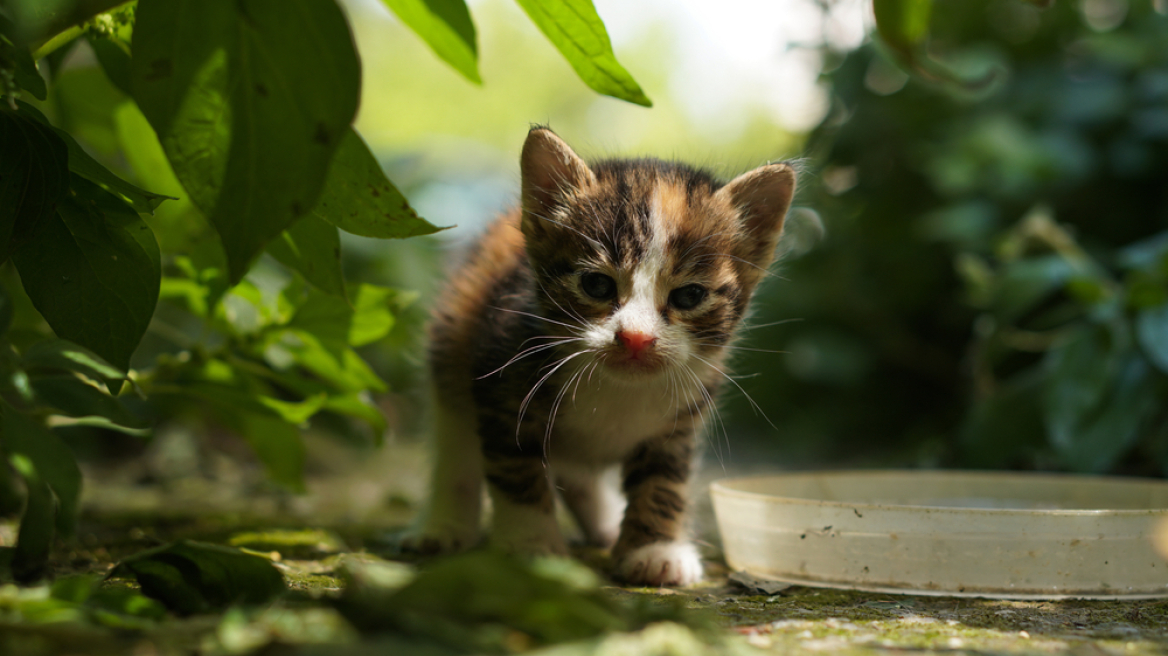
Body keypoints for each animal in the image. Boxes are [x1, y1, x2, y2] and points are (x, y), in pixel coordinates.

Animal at [401, 126, 794, 581]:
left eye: (689, 295)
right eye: (597, 285)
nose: (637, 338)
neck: (617, 391)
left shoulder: (682, 416)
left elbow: (664, 477)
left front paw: (654, 548)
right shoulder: (501, 378)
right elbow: (517, 471)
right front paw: (531, 546)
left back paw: (606, 523)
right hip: (451, 348)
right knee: (455, 449)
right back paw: (443, 526)